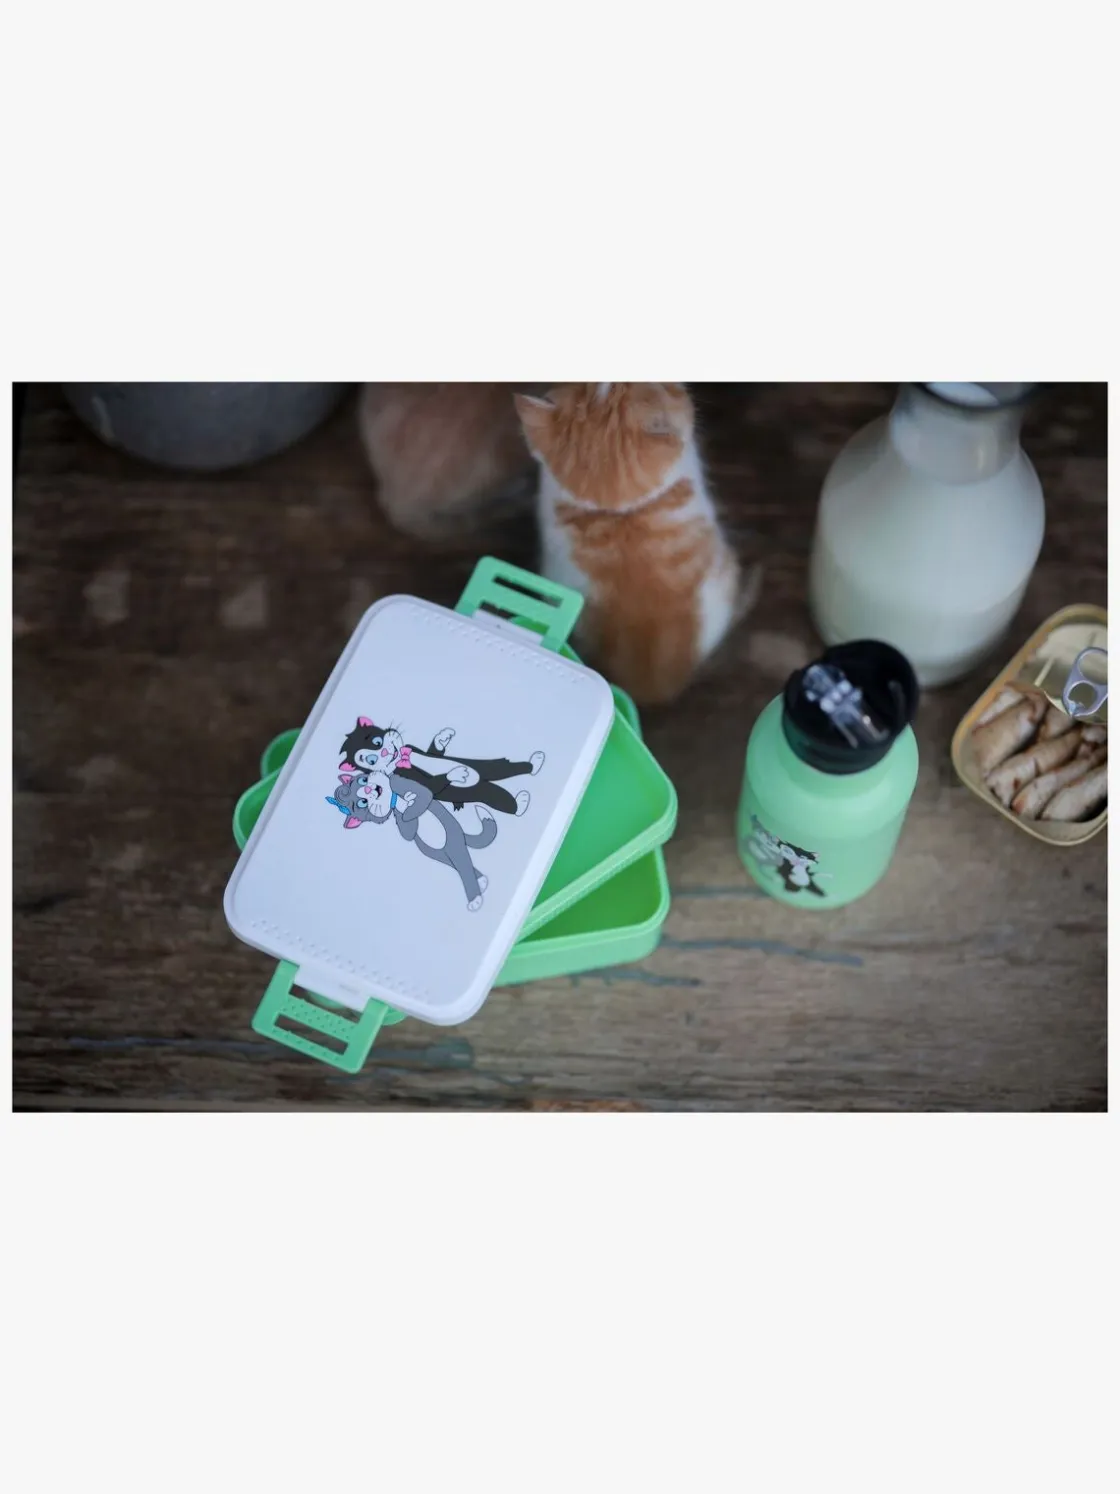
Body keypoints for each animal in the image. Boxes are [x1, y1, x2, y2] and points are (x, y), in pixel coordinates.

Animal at [328, 769, 498, 910]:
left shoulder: (402, 783)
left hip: (451, 841)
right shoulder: (401, 822)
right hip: (437, 852)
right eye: (362, 802)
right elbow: (407, 831)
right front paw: (408, 809)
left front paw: (456, 774)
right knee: (457, 864)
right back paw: (479, 887)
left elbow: (427, 790)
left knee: (462, 863)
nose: (370, 789)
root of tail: (460, 833)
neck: (395, 799)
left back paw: (478, 890)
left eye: (363, 780)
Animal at [340, 718, 543, 818]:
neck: (401, 761)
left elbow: (434, 752)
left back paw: (536, 762)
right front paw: (457, 774)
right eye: (370, 761)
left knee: (502, 766)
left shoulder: (415, 749)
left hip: (486, 766)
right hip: (483, 792)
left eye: (377, 741)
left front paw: (442, 737)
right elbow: (431, 788)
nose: (382, 753)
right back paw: (521, 803)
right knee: (499, 797)